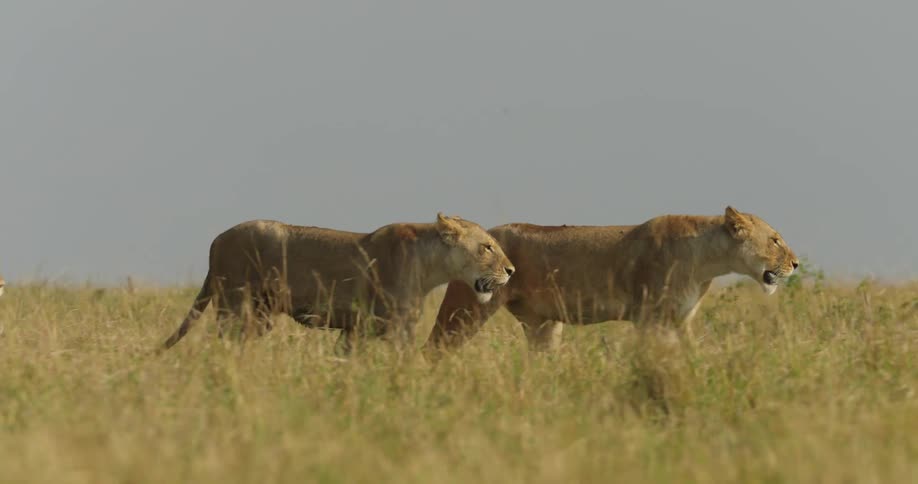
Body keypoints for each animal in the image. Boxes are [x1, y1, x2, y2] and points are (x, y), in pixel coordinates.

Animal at [162, 213, 514, 353]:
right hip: (236, 307)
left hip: (259, 316)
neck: (430, 267)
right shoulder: (398, 329)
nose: (511, 270)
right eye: (487, 247)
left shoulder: (356, 329)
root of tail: (216, 241)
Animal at [424, 206, 798, 354]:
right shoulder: (650, 318)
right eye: (775, 240)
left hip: (544, 325)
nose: (795, 264)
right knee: (435, 348)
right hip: (467, 307)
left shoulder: (682, 319)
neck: (707, 261)